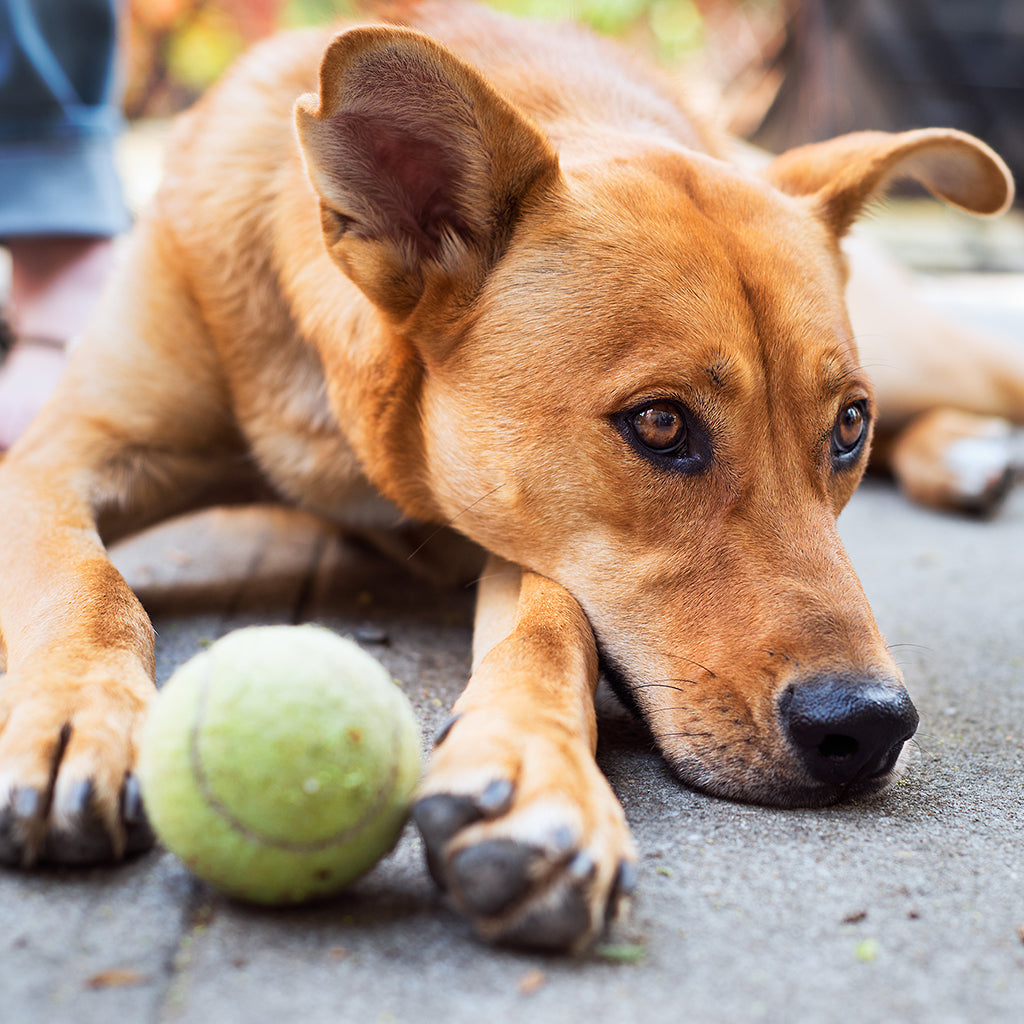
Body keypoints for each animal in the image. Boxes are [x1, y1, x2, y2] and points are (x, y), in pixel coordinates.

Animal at [0, 0, 1015, 950]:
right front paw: (76, 717)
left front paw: (535, 773)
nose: (871, 726)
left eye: (847, 426)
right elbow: (90, 582)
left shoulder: (517, 529)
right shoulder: (53, 458)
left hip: (938, 360)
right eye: (661, 423)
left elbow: (550, 624)